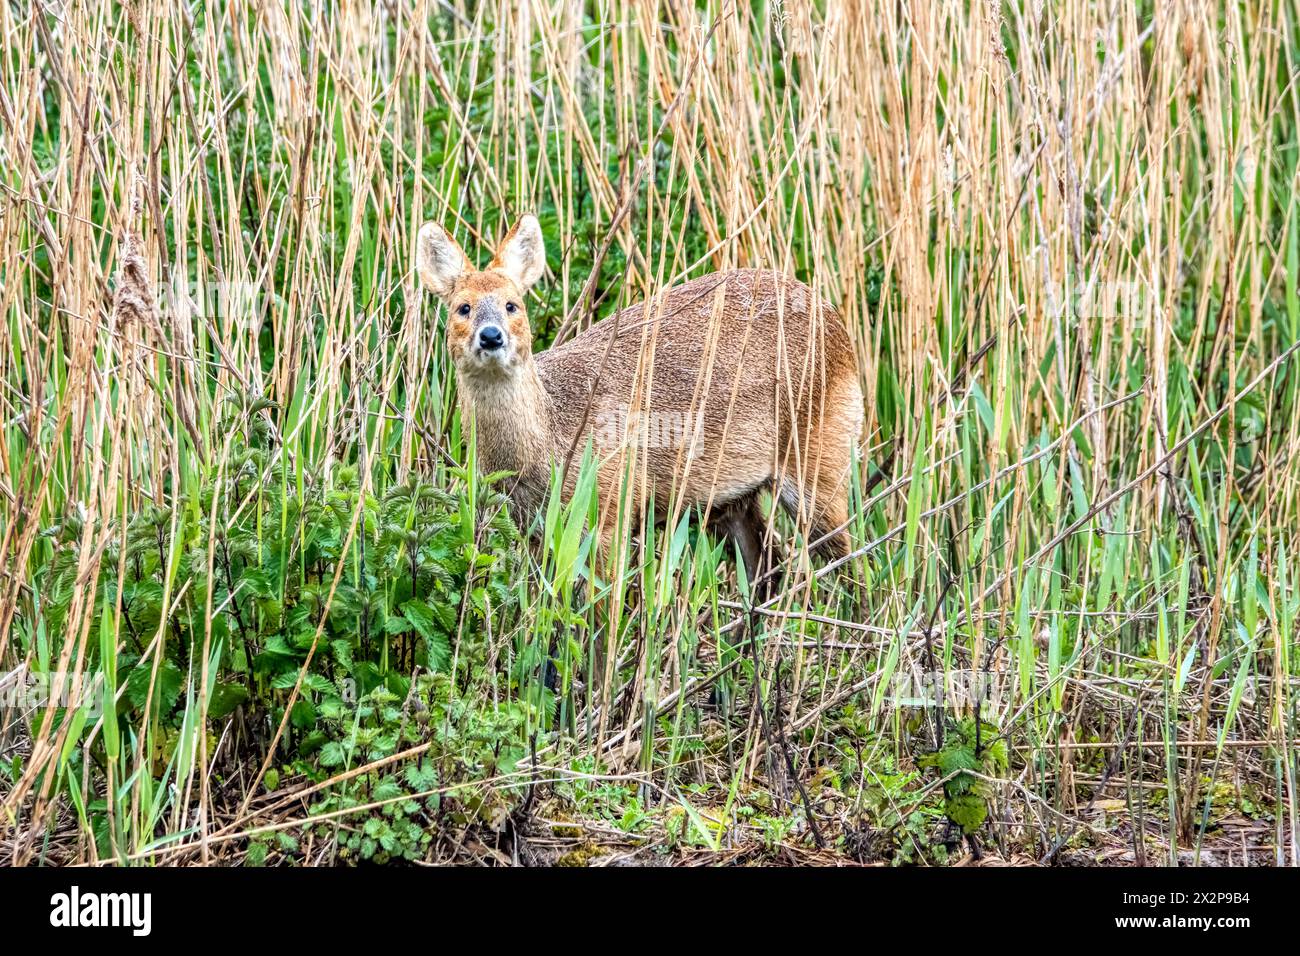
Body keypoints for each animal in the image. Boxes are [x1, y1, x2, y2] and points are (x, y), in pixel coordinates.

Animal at [416, 214, 863, 582]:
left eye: (513, 305)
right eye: (462, 308)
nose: (491, 336)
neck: (550, 439)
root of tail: (837, 322)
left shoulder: (613, 506)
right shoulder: (534, 528)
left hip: (819, 458)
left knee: (852, 562)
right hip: (728, 499)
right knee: (766, 567)